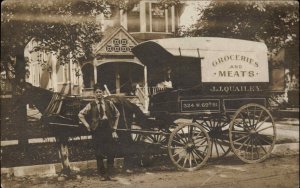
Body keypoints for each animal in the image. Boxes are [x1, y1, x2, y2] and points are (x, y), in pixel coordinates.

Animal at [12, 81, 168, 176]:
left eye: (21, 92)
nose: (13, 106)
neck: (56, 107)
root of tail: (127, 101)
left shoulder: (62, 133)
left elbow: (64, 154)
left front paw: (67, 173)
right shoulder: (58, 134)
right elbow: (62, 154)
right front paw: (65, 171)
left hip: (122, 128)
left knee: (129, 144)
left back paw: (128, 167)